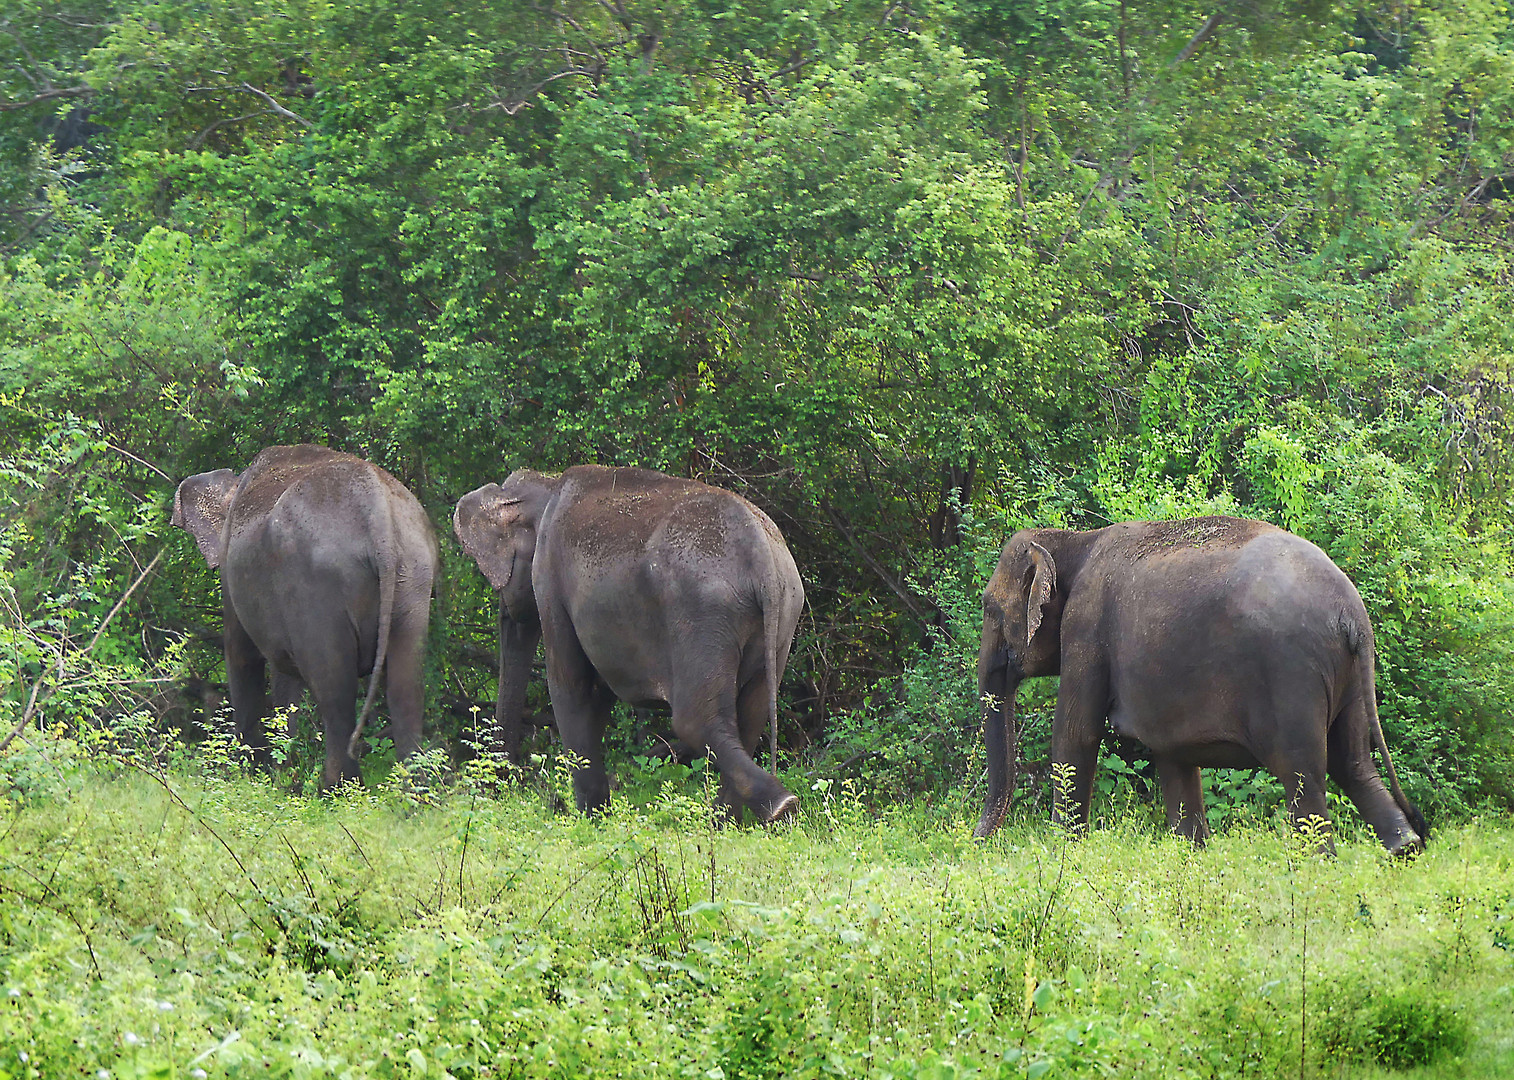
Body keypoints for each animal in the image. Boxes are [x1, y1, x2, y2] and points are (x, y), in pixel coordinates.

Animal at [175, 442, 442, 787]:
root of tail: (379, 515)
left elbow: (242, 654)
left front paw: (254, 773)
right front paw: (280, 771)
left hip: (317, 586)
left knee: (335, 690)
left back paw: (335, 788)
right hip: (414, 576)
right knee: (405, 686)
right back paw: (414, 792)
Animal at [448, 460, 805, 824]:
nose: (496, 789)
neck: (544, 485)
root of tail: (763, 560)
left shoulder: (549, 577)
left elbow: (571, 685)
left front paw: (591, 818)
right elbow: (599, 692)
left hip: (702, 613)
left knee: (695, 721)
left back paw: (778, 806)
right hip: (779, 619)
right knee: (751, 715)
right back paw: (730, 820)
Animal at [975, 515, 1423, 848]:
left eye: (990, 609)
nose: (976, 844)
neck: (1073, 540)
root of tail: (1353, 616)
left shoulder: (1085, 627)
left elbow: (1075, 734)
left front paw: (1062, 852)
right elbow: (1173, 755)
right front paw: (1192, 851)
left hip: (1292, 677)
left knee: (1304, 776)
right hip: (1348, 679)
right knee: (1354, 762)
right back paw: (1405, 846)